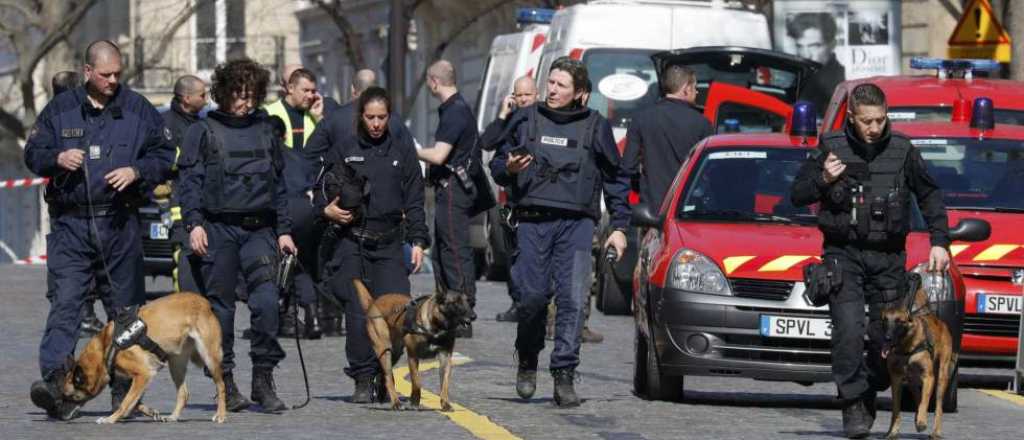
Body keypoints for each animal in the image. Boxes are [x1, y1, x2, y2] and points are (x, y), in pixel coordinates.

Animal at [352, 280, 475, 411]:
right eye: (456, 303)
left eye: (468, 301)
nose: (474, 316)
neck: (436, 327)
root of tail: (374, 302)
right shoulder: (412, 356)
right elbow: (416, 381)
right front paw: (415, 401)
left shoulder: (445, 357)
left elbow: (445, 384)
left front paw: (445, 403)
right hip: (385, 351)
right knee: (389, 376)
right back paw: (396, 403)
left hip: (395, 352)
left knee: (383, 374)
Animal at [876, 278, 954, 440]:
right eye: (885, 320)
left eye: (899, 321)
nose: (887, 338)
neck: (906, 348)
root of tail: (936, 319)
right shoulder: (896, 379)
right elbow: (896, 409)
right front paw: (892, 431)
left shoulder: (929, 377)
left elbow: (925, 402)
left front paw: (922, 422)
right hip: (912, 382)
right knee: (917, 398)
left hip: (941, 377)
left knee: (937, 406)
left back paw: (935, 431)